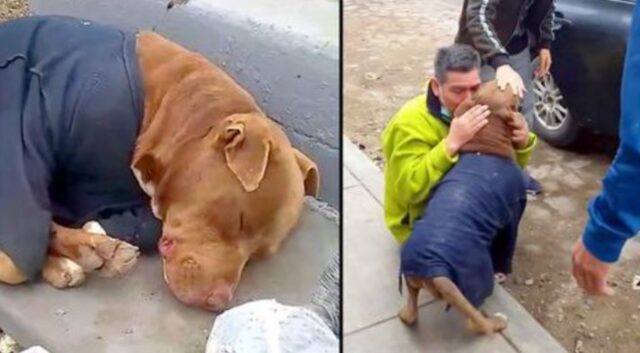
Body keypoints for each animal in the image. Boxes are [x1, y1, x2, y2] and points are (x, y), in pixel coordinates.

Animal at [400, 81, 528, 334]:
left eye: (479, 86)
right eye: (509, 92)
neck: (486, 144)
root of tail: (436, 270)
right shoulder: (512, 216)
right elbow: (506, 249)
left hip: (410, 282)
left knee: (411, 313)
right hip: (477, 279)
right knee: (475, 321)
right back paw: (497, 321)